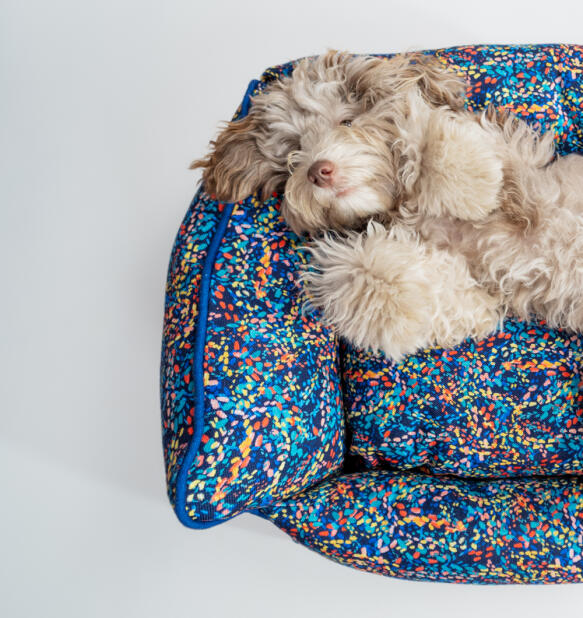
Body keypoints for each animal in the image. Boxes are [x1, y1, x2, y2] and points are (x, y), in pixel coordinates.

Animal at [194, 53, 583, 364]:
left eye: (347, 123)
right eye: (294, 153)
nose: (319, 171)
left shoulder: (514, 163)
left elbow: (420, 126)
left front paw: (471, 188)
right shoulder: (473, 279)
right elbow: (368, 269)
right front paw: (402, 309)